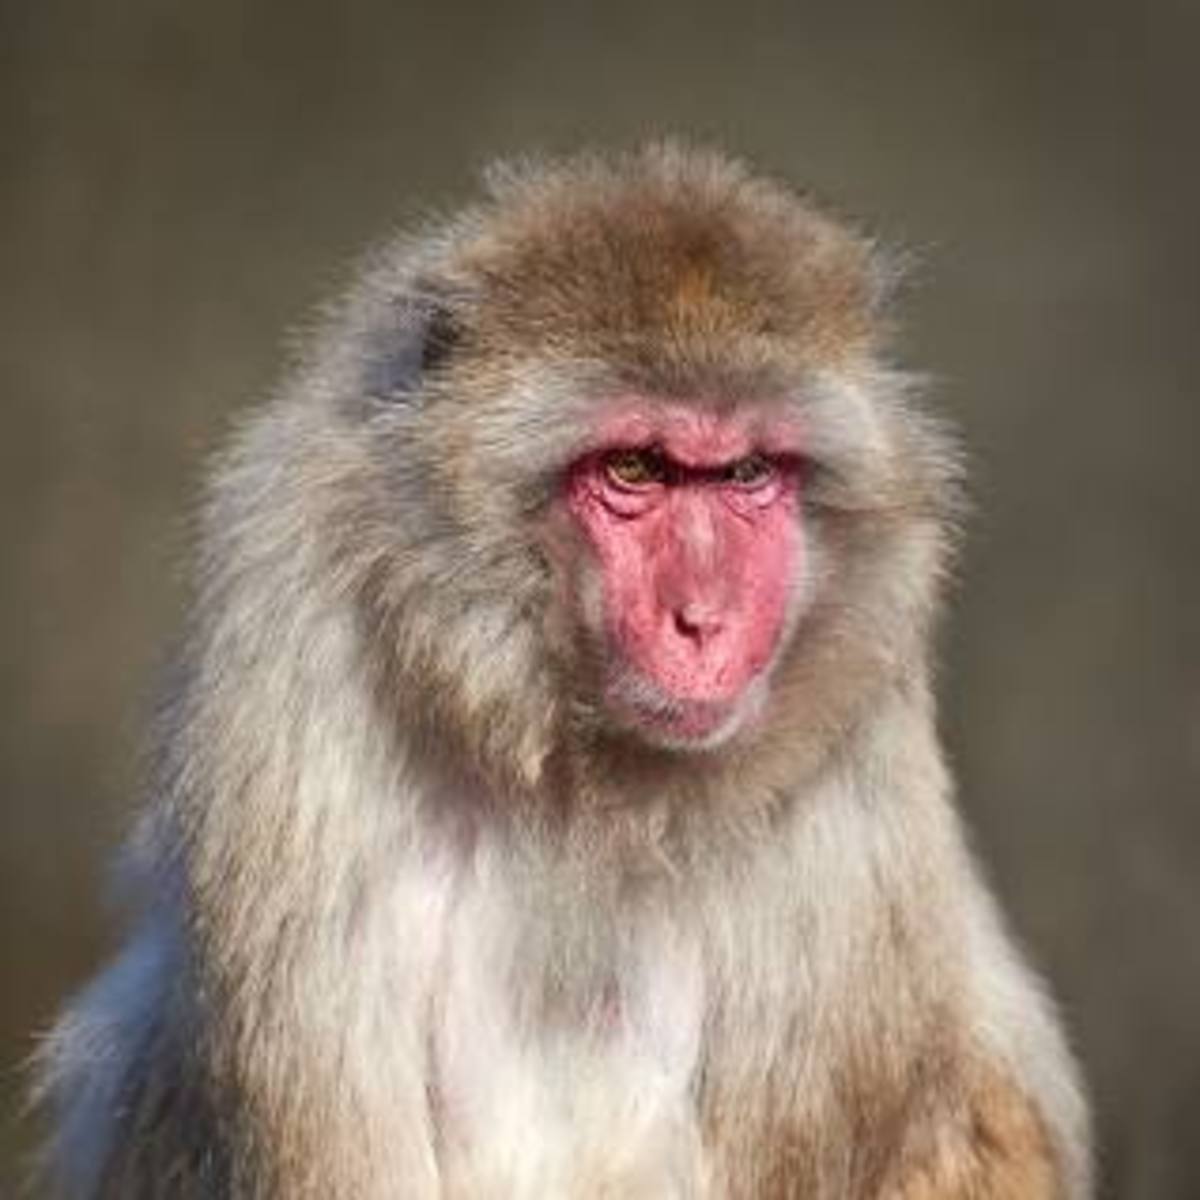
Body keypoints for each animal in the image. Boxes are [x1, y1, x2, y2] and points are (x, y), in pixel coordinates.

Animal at [35, 144, 1091, 1199]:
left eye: (748, 474)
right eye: (635, 470)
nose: (703, 623)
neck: (583, 774)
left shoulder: (850, 746)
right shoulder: (294, 665)